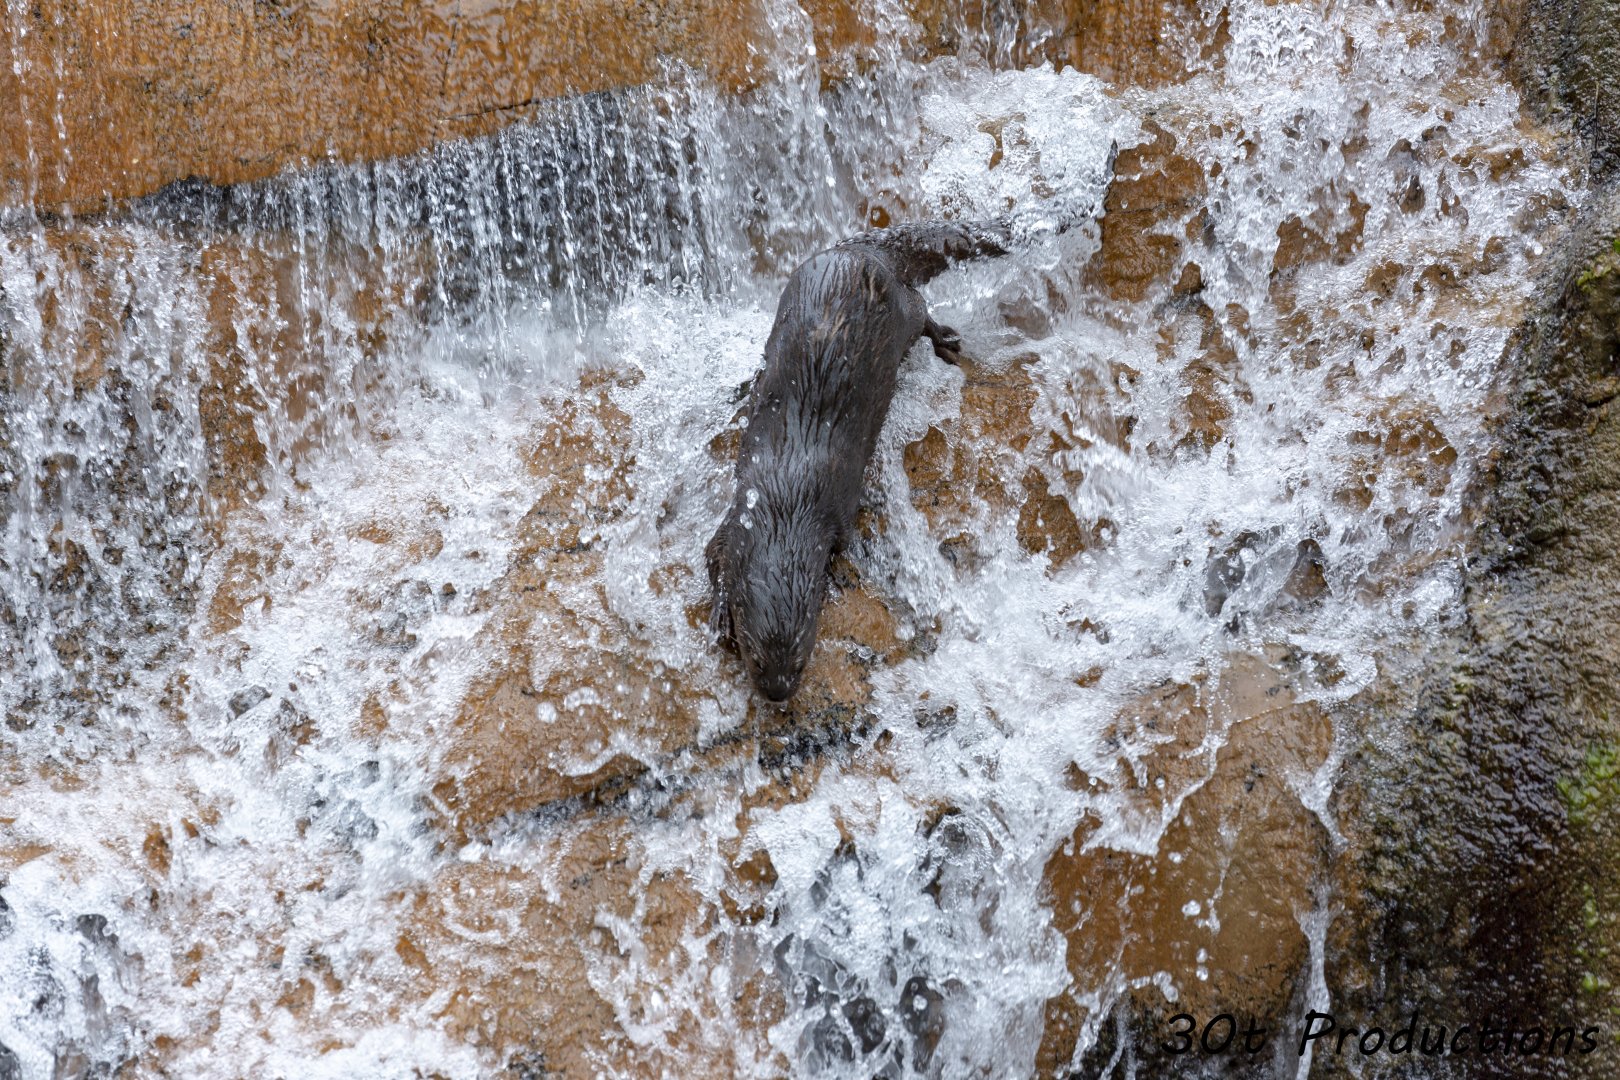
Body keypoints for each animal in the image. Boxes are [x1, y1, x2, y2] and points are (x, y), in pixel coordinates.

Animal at [705, 220, 1018, 703]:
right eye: (756, 659)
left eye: (800, 660)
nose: (777, 695)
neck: (786, 498)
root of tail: (862, 252)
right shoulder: (739, 513)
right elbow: (711, 558)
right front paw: (721, 612)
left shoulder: (835, 506)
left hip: (898, 309)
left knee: (920, 309)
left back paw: (946, 338)